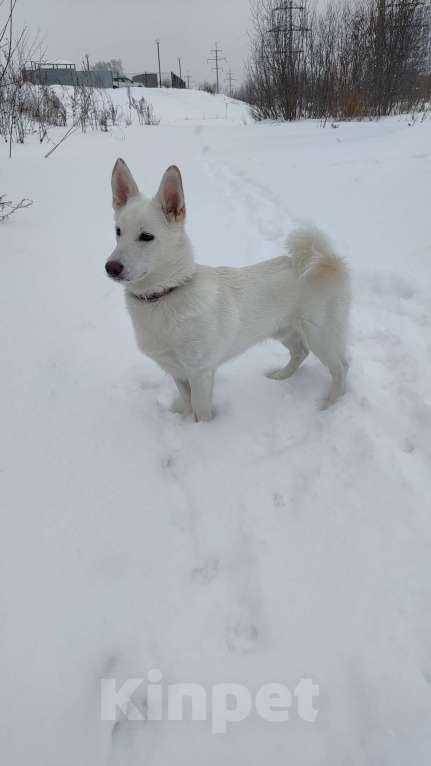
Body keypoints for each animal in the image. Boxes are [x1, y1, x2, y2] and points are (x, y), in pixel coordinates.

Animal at [106, 160, 352, 424]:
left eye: (146, 236)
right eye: (118, 231)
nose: (110, 267)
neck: (166, 294)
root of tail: (329, 261)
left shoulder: (200, 372)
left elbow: (202, 412)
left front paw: (202, 431)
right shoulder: (177, 372)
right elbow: (188, 404)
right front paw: (186, 420)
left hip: (321, 335)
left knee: (341, 367)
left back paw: (330, 405)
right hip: (283, 329)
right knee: (300, 352)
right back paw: (280, 377)